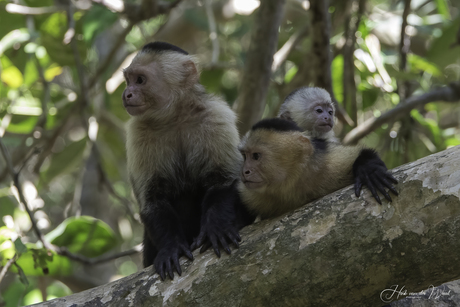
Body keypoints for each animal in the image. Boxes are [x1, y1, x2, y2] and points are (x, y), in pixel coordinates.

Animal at [122, 42, 253, 282]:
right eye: (128, 80)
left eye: (140, 80)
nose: (126, 94)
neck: (174, 117)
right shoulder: (137, 133)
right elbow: (153, 199)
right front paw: (171, 247)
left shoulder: (216, 116)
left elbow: (225, 181)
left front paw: (217, 228)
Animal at [237, 118, 398, 219]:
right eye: (244, 156)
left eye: (256, 156)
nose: (245, 171)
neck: (294, 180)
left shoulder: (329, 163)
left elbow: (360, 153)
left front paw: (370, 170)